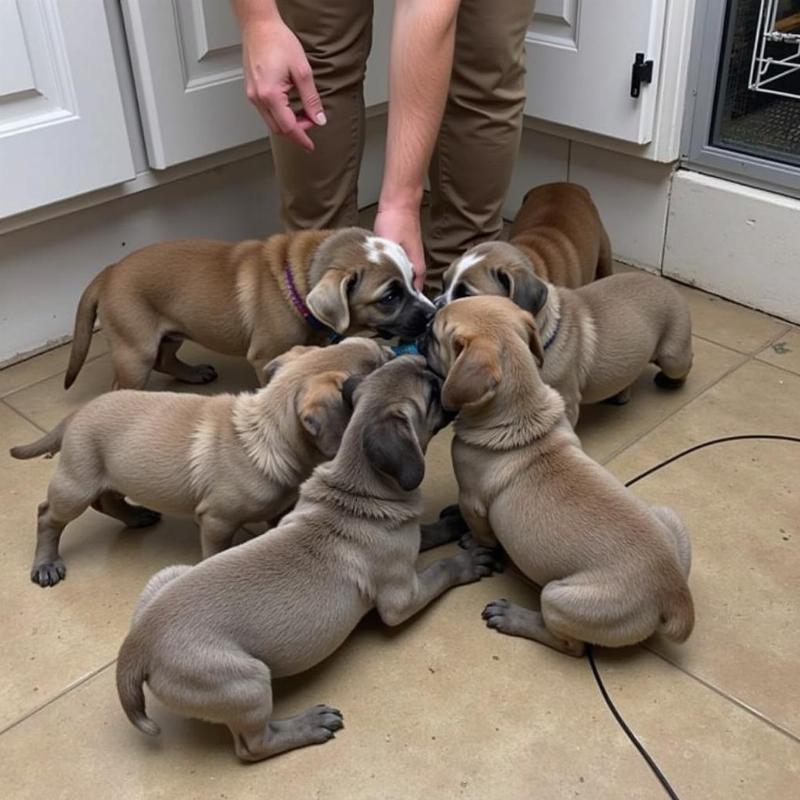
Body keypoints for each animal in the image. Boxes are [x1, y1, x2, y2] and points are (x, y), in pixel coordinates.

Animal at [9, 338, 390, 588]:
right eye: (375, 367)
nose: (390, 349)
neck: (268, 430)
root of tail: (73, 417)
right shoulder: (217, 521)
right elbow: (217, 551)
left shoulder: (277, 508)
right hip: (75, 485)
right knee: (48, 515)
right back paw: (46, 564)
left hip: (112, 475)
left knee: (107, 501)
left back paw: (135, 516)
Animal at [63, 225, 434, 390]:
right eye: (389, 297)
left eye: (414, 278)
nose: (432, 314)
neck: (296, 280)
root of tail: (108, 271)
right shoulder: (265, 356)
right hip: (134, 352)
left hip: (171, 331)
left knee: (165, 359)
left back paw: (193, 373)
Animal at [117, 356, 500, 764]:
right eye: (431, 393)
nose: (437, 369)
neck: (357, 486)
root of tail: (136, 648)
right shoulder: (402, 597)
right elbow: (441, 568)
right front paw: (468, 562)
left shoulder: (407, 536)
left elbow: (425, 532)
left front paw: (452, 524)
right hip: (248, 681)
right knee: (253, 746)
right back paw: (308, 726)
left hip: (169, 578)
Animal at [418, 296, 692, 660]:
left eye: (434, 336)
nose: (424, 321)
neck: (521, 409)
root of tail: (673, 594)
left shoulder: (473, 500)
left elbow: (481, 531)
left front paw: (470, 540)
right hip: (669, 518)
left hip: (557, 597)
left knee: (570, 645)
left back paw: (512, 617)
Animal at [434, 241, 692, 428]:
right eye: (443, 283)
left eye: (466, 295)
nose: (435, 306)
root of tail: (668, 286)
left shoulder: (566, 402)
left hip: (673, 357)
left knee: (683, 364)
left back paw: (669, 381)